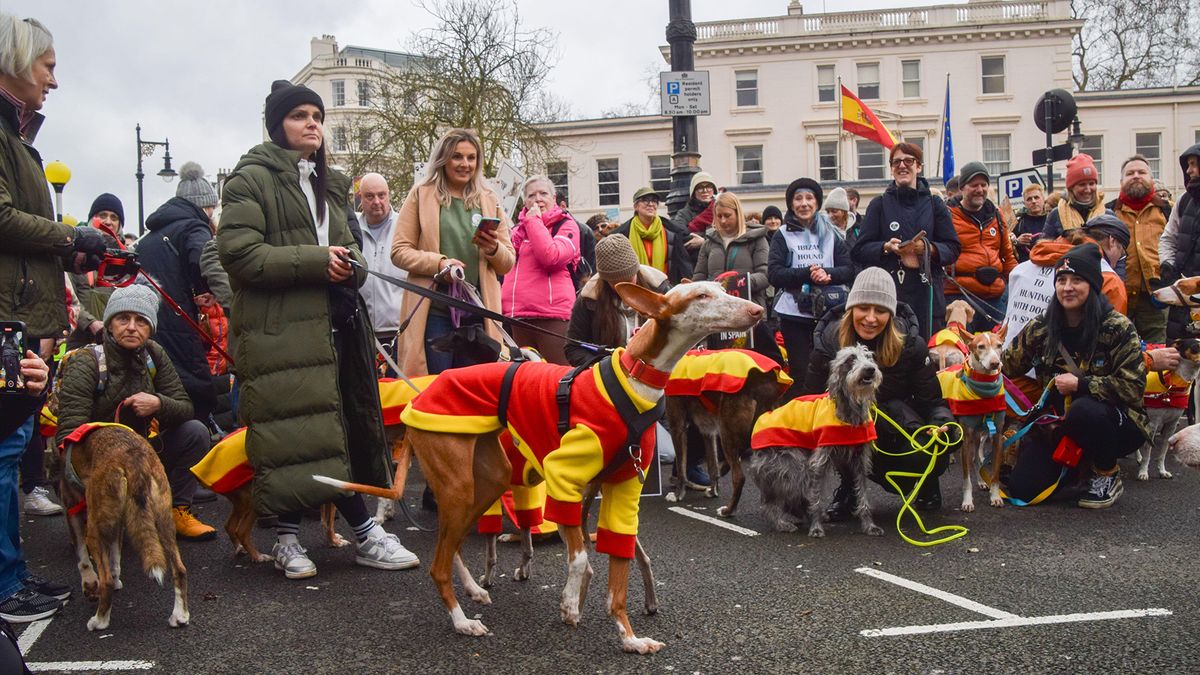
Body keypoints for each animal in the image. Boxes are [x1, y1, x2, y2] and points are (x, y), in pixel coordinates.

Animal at [54, 422, 187, 629]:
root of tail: (133, 456)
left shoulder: (72, 511)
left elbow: (83, 559)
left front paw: (89, 585)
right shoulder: (118, 525)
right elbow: (115, 559)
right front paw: (117, 580)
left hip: (94, 530)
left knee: (105, 581)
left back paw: (99, 621)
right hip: (163, 520)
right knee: (179, 569)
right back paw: (180, 616)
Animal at [309, 279, 758, 653]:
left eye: (722, 289)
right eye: (702, 295)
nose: (756, 311)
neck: (635, 381)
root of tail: (419, 396)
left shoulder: (623, 489)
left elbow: (619, 571)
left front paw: (630, 638)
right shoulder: (563, 480)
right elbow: (579, 559)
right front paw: (570, 605)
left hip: (485, 485)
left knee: (452, 548)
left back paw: (473, 591)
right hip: (460, 488)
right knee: (438, 564)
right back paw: (462, 621)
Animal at [748, 341, 883, 535]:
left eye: (869, 357)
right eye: (850, 359)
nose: (870, 369)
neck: (848, 414)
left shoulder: (859, 460)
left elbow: (862, 494)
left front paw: (869, 526)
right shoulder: (819, 461)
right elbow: (816, 496)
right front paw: (816, 527)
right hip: (791, 465)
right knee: (770, 503)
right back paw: (782, 523)